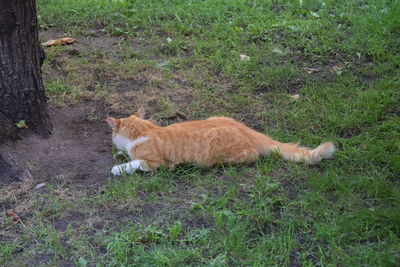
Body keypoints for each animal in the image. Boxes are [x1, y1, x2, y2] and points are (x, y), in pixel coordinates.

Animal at [106, 108, 334, 177]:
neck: (146, 131)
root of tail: (249, 131)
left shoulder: (155, 163)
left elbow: (135, 163)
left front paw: (118, 167)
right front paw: (120, 153)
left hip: (222, 153)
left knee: (251, 156)